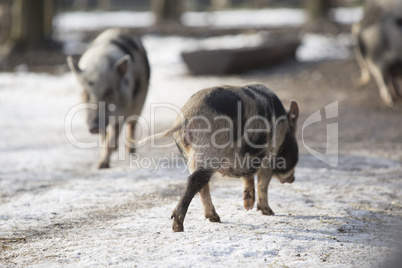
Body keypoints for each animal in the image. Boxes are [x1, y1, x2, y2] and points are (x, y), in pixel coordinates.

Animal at [67, 28, 151, 169]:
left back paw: (130, 151)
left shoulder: (123, 111)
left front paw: (101, 166)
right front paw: (100, 164)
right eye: (86, 93)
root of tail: (119, 29)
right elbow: (104, 137)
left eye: (109, 92)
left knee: (132, 123)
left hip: (140, 100)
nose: (94, 126)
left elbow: (112, 137)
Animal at [138, 82, 298, 231]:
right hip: (210, 150)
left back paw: (215, 219)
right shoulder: (270, 156)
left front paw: (248, 206)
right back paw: (179, 227)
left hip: (191, 156)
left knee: (202, 185)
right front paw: (269, 212)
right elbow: (263, 184)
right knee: (194, 181)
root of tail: (186, 118)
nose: (292, 179)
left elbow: (248, 178)